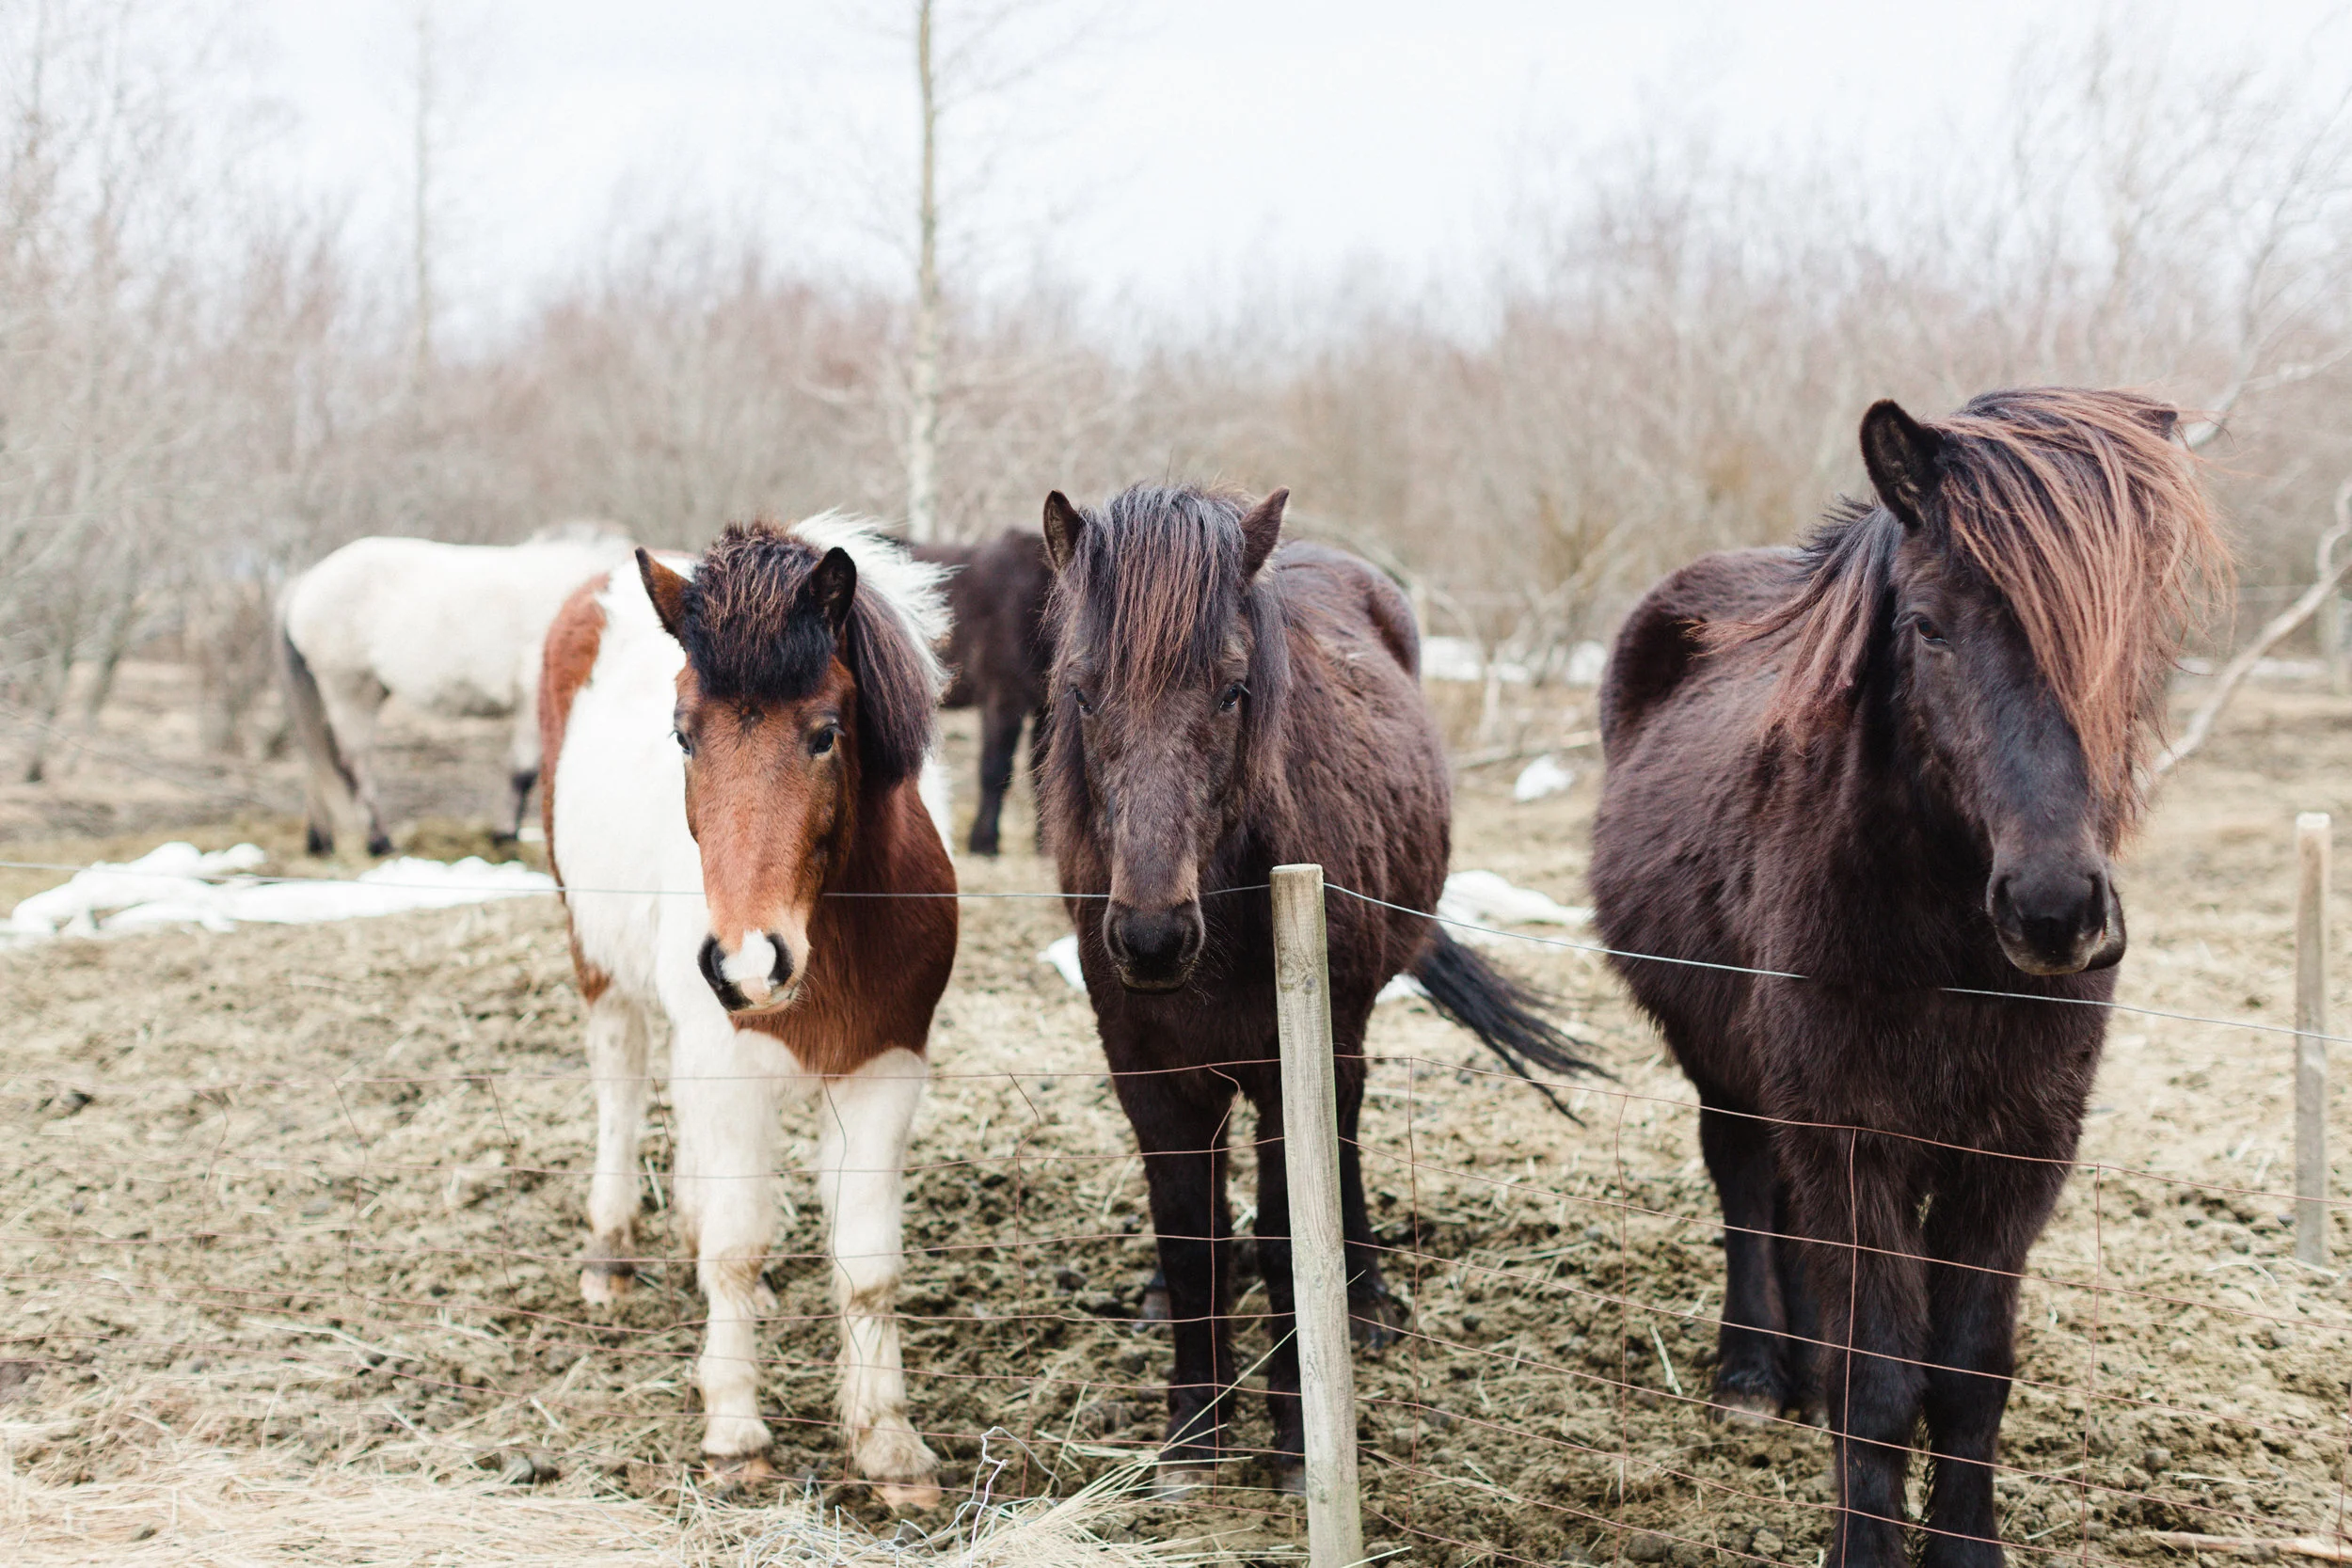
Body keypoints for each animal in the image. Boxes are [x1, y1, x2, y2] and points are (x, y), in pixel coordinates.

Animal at [276, 521, 633, 856]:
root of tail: (305, 582)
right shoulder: (533, 702)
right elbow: (524, 774)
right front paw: (506, 836)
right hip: (350, 693)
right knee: (353, 766)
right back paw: (380, 842)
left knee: (318, 762)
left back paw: (320, 842)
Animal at [538, 516, 955, 1506]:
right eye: (683, 735)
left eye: (826, 732)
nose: (746, 964)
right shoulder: (730, 1060)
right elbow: (737, 1243)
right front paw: (735, 1432)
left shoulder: (886, 1069)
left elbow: (868, 1265)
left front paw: (889, 1445)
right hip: (598, 959)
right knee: (622, 1088)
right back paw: (610, 1254)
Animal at [913, 530, 1053, 856]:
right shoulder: (1003, 698)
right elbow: (995, 769)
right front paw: (984, 841)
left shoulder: (1045, 707)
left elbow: (1042, 771)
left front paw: (1046, 844)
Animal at [1036, 483, 1596, 1495]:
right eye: (1082, 690)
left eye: (1233, 689)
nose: (1151, 937)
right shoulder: (1148, 1069)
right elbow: (1190, 1231)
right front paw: (1194, 1431)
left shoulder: (1291, 1060)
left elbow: (1288, 1233)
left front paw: (1298, 1438)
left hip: (1343, 1034)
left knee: (1346, 1138)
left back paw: (1364, 1299)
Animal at [1588, 389, 2222, 1568]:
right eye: (1927, 626)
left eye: (2133, 639)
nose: (2053, 909)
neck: (1947, 949)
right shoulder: (1854, 1136)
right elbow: (1880, 1383)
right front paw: (1864, 1544)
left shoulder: (2018, 1151)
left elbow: (1968, 1378)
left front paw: (1966, 1547)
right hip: (1723, 1062)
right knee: (1744, 1181)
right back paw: (1753, 1372)